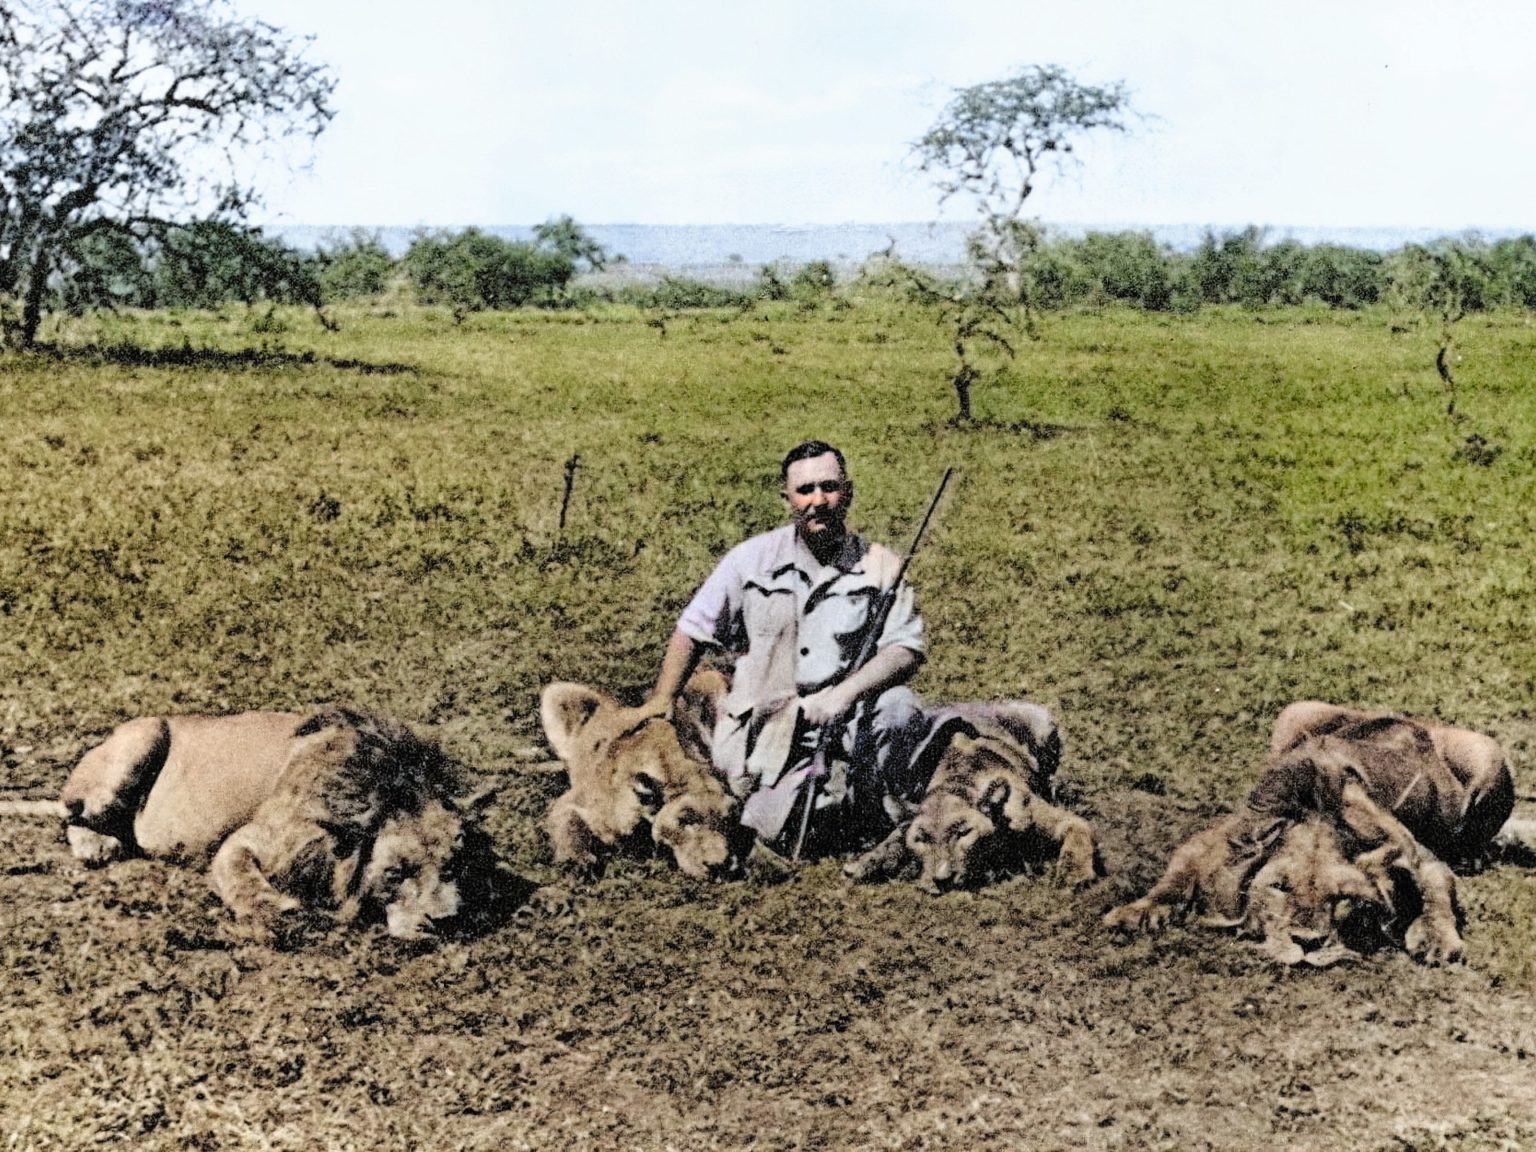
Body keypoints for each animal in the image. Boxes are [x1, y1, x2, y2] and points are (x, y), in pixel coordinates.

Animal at [58, 709, 491, 940]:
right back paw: (97, 845)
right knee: (73, 813)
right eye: (395, 873)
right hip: (142, 737)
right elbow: (241, 876)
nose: (448, 922)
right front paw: (279, 909)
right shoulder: (245, 840)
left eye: (454, 864)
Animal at [543, 672, 746, 878]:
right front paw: (575, 860)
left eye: (728, 820)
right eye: (685, 821)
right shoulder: (576, 802)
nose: (720, 866)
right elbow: (569, 823)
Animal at [847, 700, 1099, 897]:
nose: (943, 880)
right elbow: (897, 833)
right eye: (922, 839)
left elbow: (1078, 831)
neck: (958, 782)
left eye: (964, 832)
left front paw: (1073, 876)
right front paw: (869, 861)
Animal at [1105, 703, 1511, 964]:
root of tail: (1416, 720)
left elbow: (1436, 890)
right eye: (1278, 888)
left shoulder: (1417, 855)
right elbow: (1177, 874)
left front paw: (1437, 939)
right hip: (1294, 712)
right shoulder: (1217, 838)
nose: (1307, 942)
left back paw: (1474, 855)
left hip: (1489, 753)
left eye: (1344, 898)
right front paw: (1135, 912)